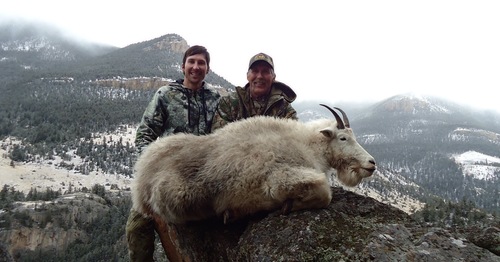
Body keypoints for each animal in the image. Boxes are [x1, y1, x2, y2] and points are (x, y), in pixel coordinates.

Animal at [131, 105, 376, 224]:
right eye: (343, 138)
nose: (371, 163)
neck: (306, 144)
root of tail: (140, 177)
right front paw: (287, 206)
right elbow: (325, 194)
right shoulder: (280, 178)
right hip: (178, 198)